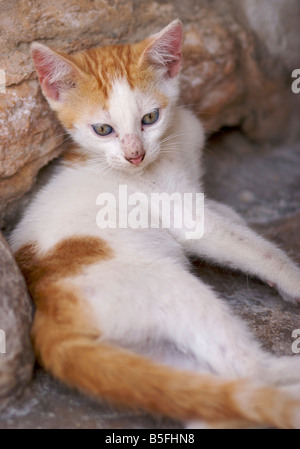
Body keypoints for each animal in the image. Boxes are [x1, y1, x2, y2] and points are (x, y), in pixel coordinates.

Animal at [8, 20, 300, 428]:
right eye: (103, 130)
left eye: (150, 119)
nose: (135, 155)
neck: (171, 145)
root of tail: (47, 320)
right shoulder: (185, 213)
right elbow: (255, 248)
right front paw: (291, 279)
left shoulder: (193, 190)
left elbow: (231, 217)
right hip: (167, 287)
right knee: (249, 369)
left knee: (205, 398)